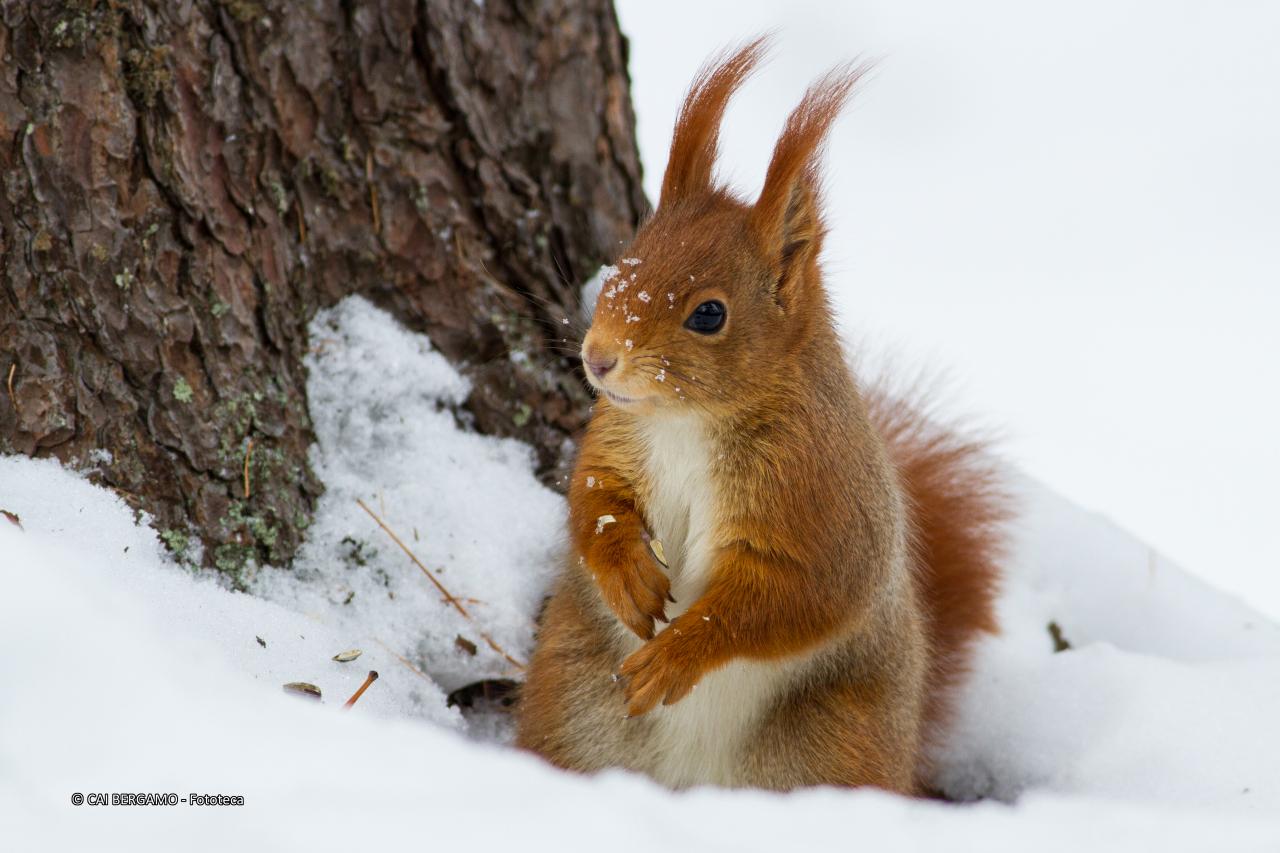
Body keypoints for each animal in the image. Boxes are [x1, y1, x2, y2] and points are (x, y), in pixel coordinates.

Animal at [516, 38, 1007, 794]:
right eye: (622, 263)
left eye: (708, 314)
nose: (598, 360)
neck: (689, 423)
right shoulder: (616, 437)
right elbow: (593, 501)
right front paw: (628, 575)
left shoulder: (820, 496)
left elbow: (791, 597)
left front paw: (679, 653)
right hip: (570, 700)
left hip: (837, 742)